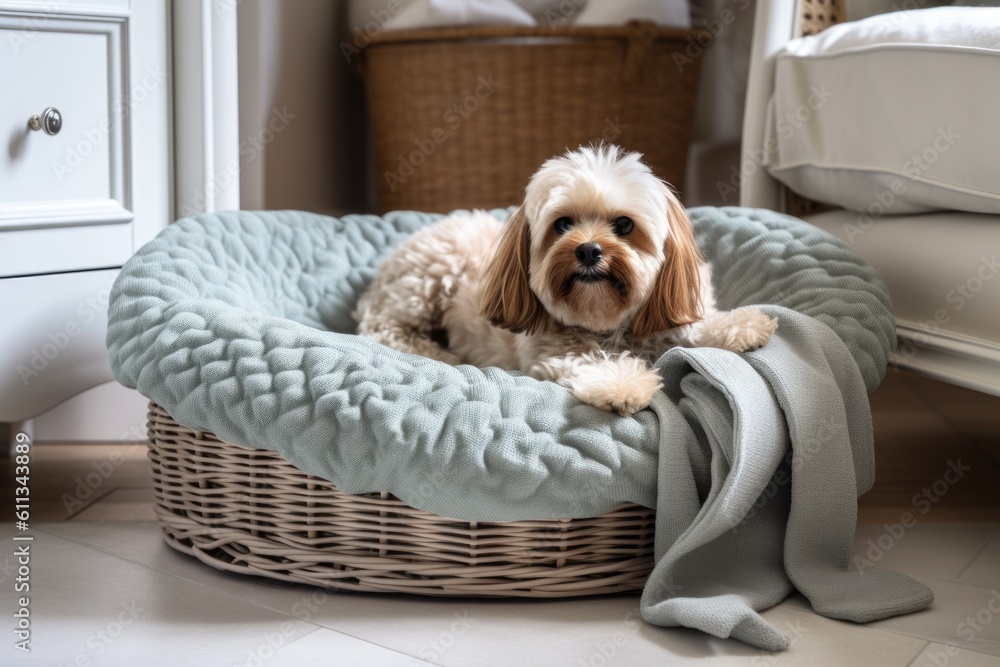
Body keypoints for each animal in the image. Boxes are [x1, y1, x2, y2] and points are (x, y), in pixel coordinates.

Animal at [356, 145, 776, 414]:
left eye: (624, 225)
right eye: (562, 224)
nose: (588, 250)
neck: (608, 324)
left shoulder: (666, 317)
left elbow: (695, 327)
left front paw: (743, 326)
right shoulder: (553, 353)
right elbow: (589, 361)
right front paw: (621, 384)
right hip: (428, 280)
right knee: (382, 328)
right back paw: (436, 353)